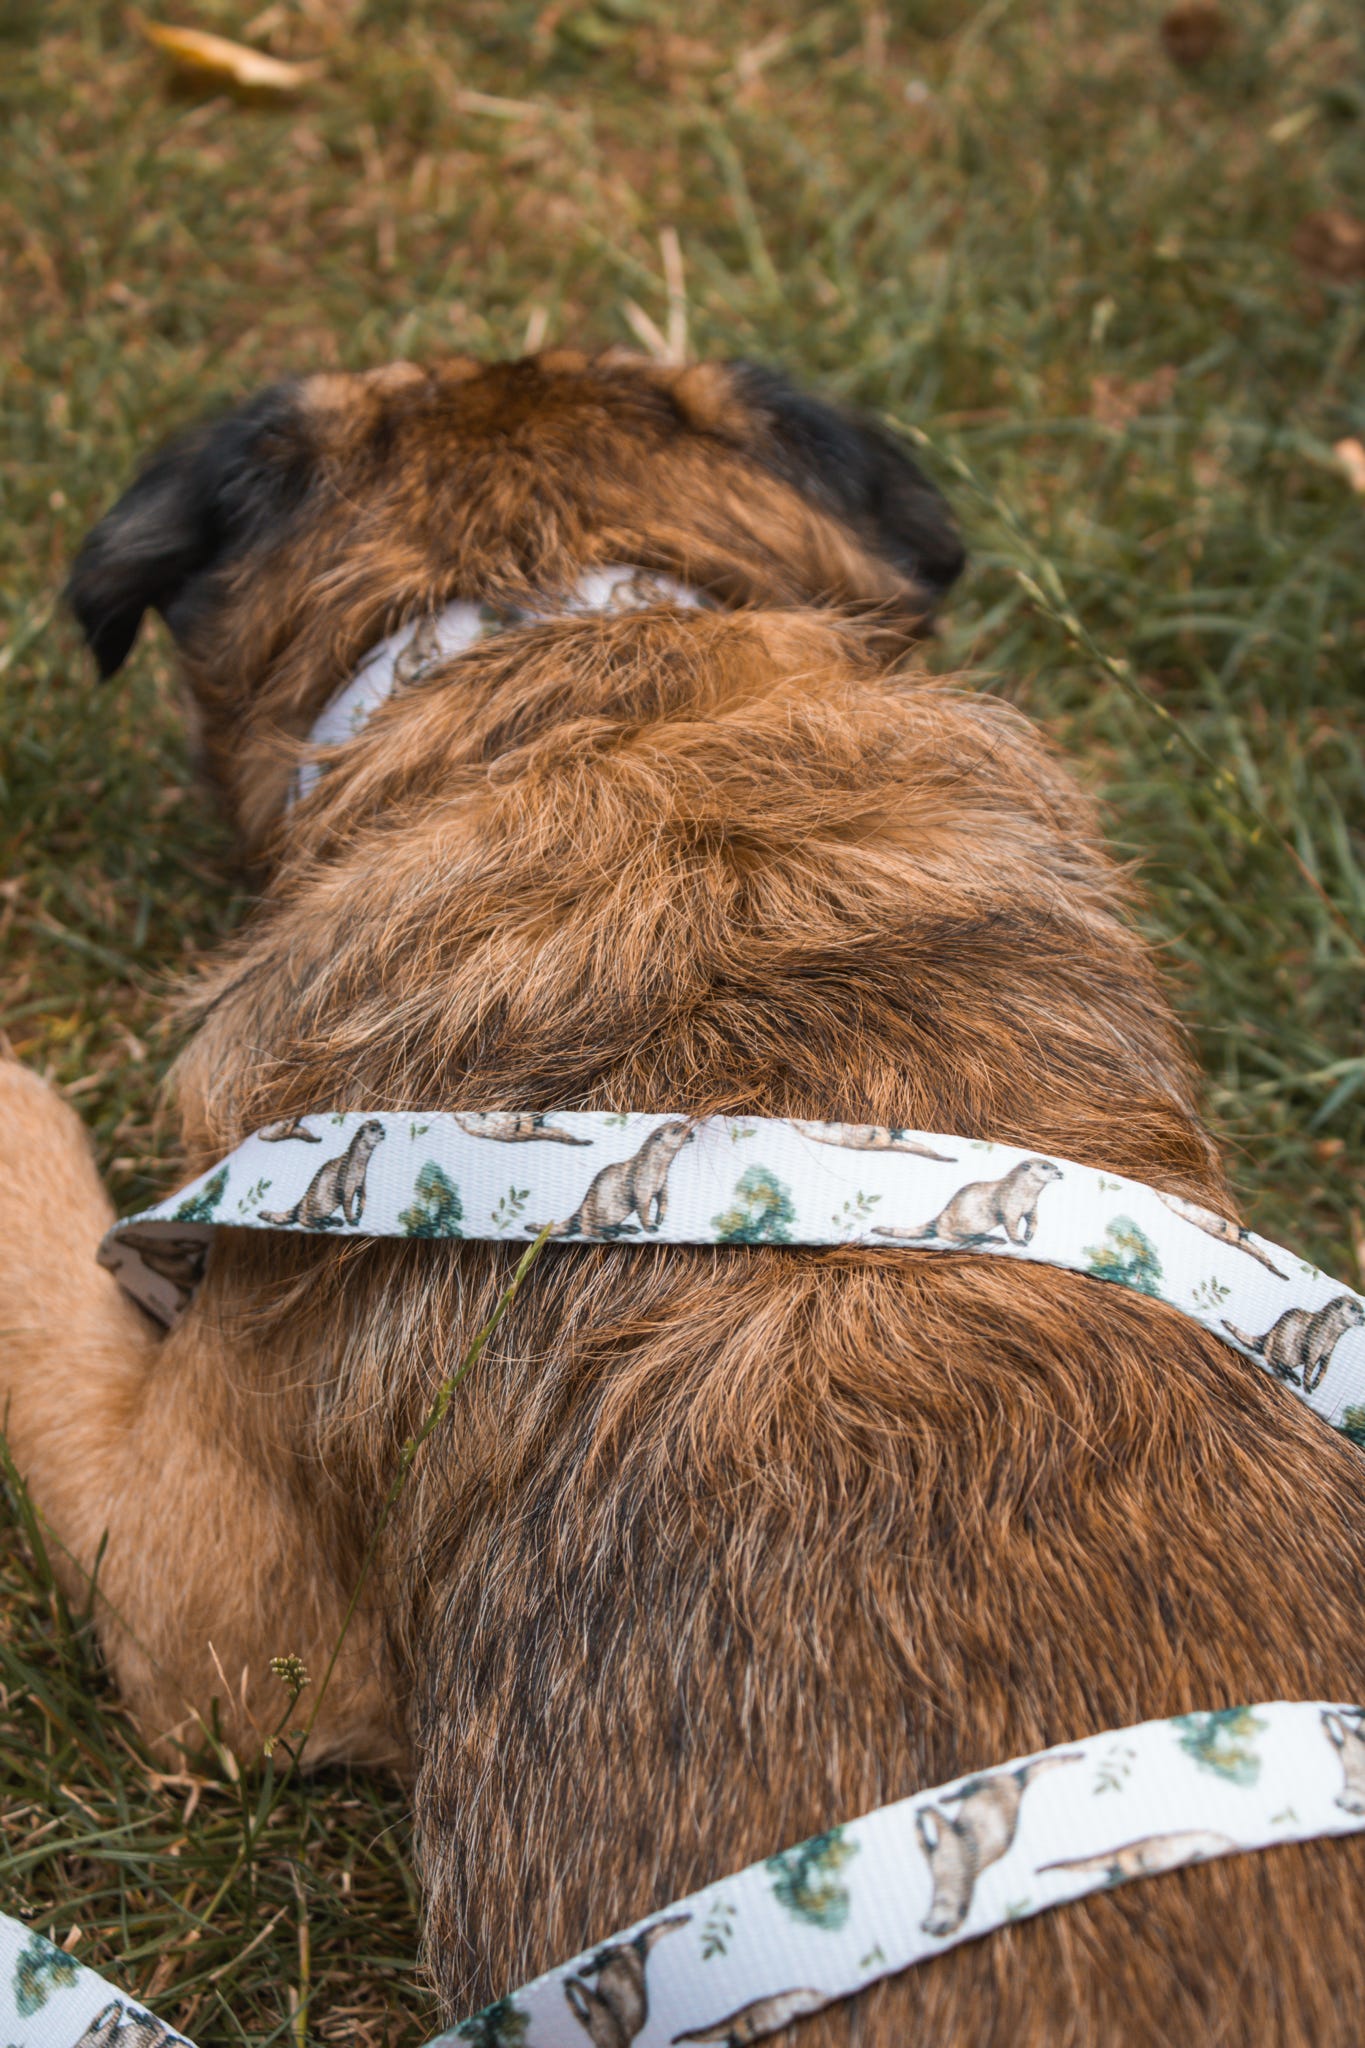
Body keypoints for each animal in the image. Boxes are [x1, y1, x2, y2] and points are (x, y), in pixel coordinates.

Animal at [257, 1120, 386, 1229]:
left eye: (382, 1126)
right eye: (373, 1129)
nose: (383, 1132)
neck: (357, 1166)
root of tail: (301, 1203)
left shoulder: (361, 1180)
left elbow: (362, 1198)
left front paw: (358, 1214)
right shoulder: (346, 1182)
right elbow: (347, 1204)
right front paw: (351, 1220)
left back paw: (333, 1220)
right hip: (316, 1205)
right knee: (302, 1218)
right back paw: (319, 1224)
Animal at [875, 1157, 1064, 1250]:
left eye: (1054, 1165)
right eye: (1045, 1167)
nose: (1060, 1173)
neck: (1023, 1194)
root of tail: (940, 1216)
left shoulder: (1032, 1206)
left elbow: (1034, 1220)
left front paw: (1029, 1235)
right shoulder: (1009, 1206)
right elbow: (1010, 1225)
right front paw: (1019, 1241)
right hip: (954, 1223)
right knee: (952, 1235)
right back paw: (982, 1239)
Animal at [1222, 1293, 1365, 1393]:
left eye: (1362, 1310)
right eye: (1353, 1308)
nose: (1363, 1318)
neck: (1329, 1335)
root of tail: (1270, 1333)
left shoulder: (1329, 1350)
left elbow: (1324, 1368)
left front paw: (1316, 1383)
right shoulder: (1313, 1345)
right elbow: (1309, 1368)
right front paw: (1307, 1387)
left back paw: (1292, 1375)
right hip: (1282, 1345)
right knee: (1272, 1360)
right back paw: (1290, 1375)